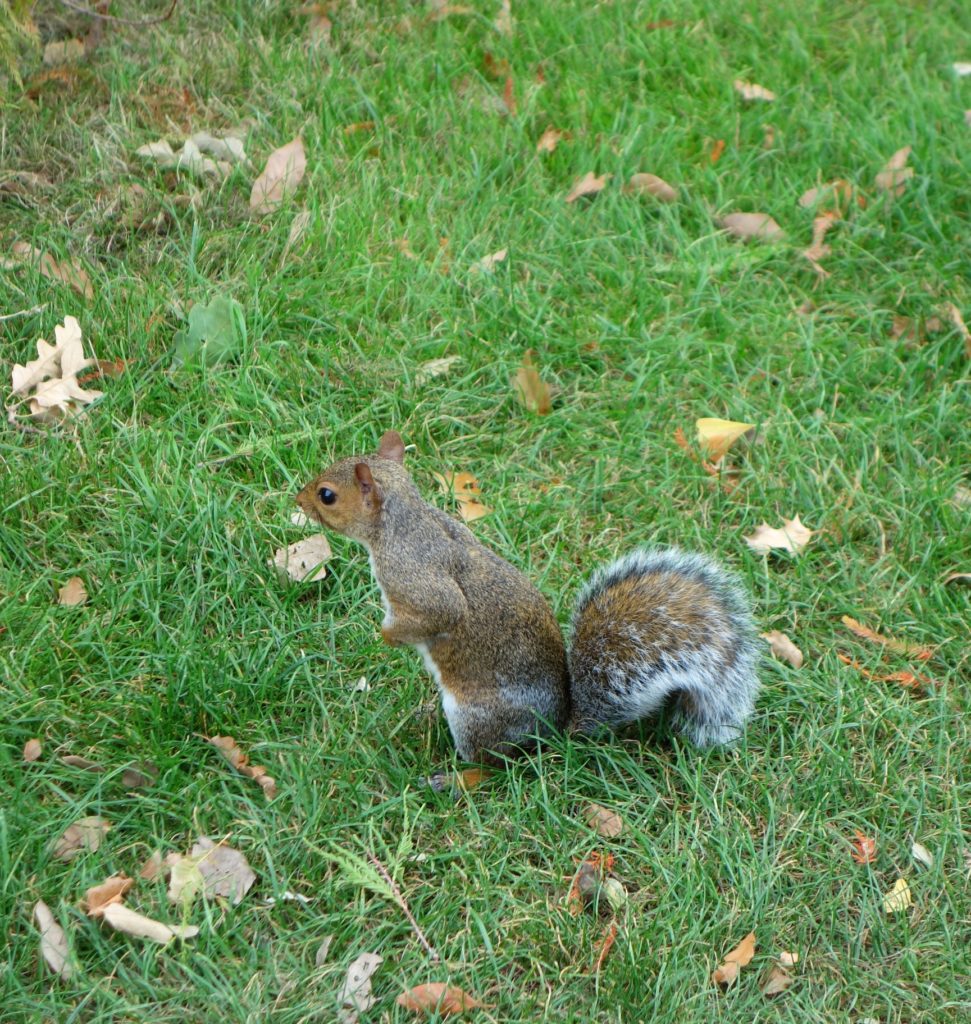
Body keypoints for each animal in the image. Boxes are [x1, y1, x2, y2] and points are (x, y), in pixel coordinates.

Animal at [294, 428, 757, 765]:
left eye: (327, 495)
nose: (298, 498)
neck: (401, 523)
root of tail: (552, 734)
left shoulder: (416, 578)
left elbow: (439, 613)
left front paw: (385, 635)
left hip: (475, 718)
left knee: (490, 763)